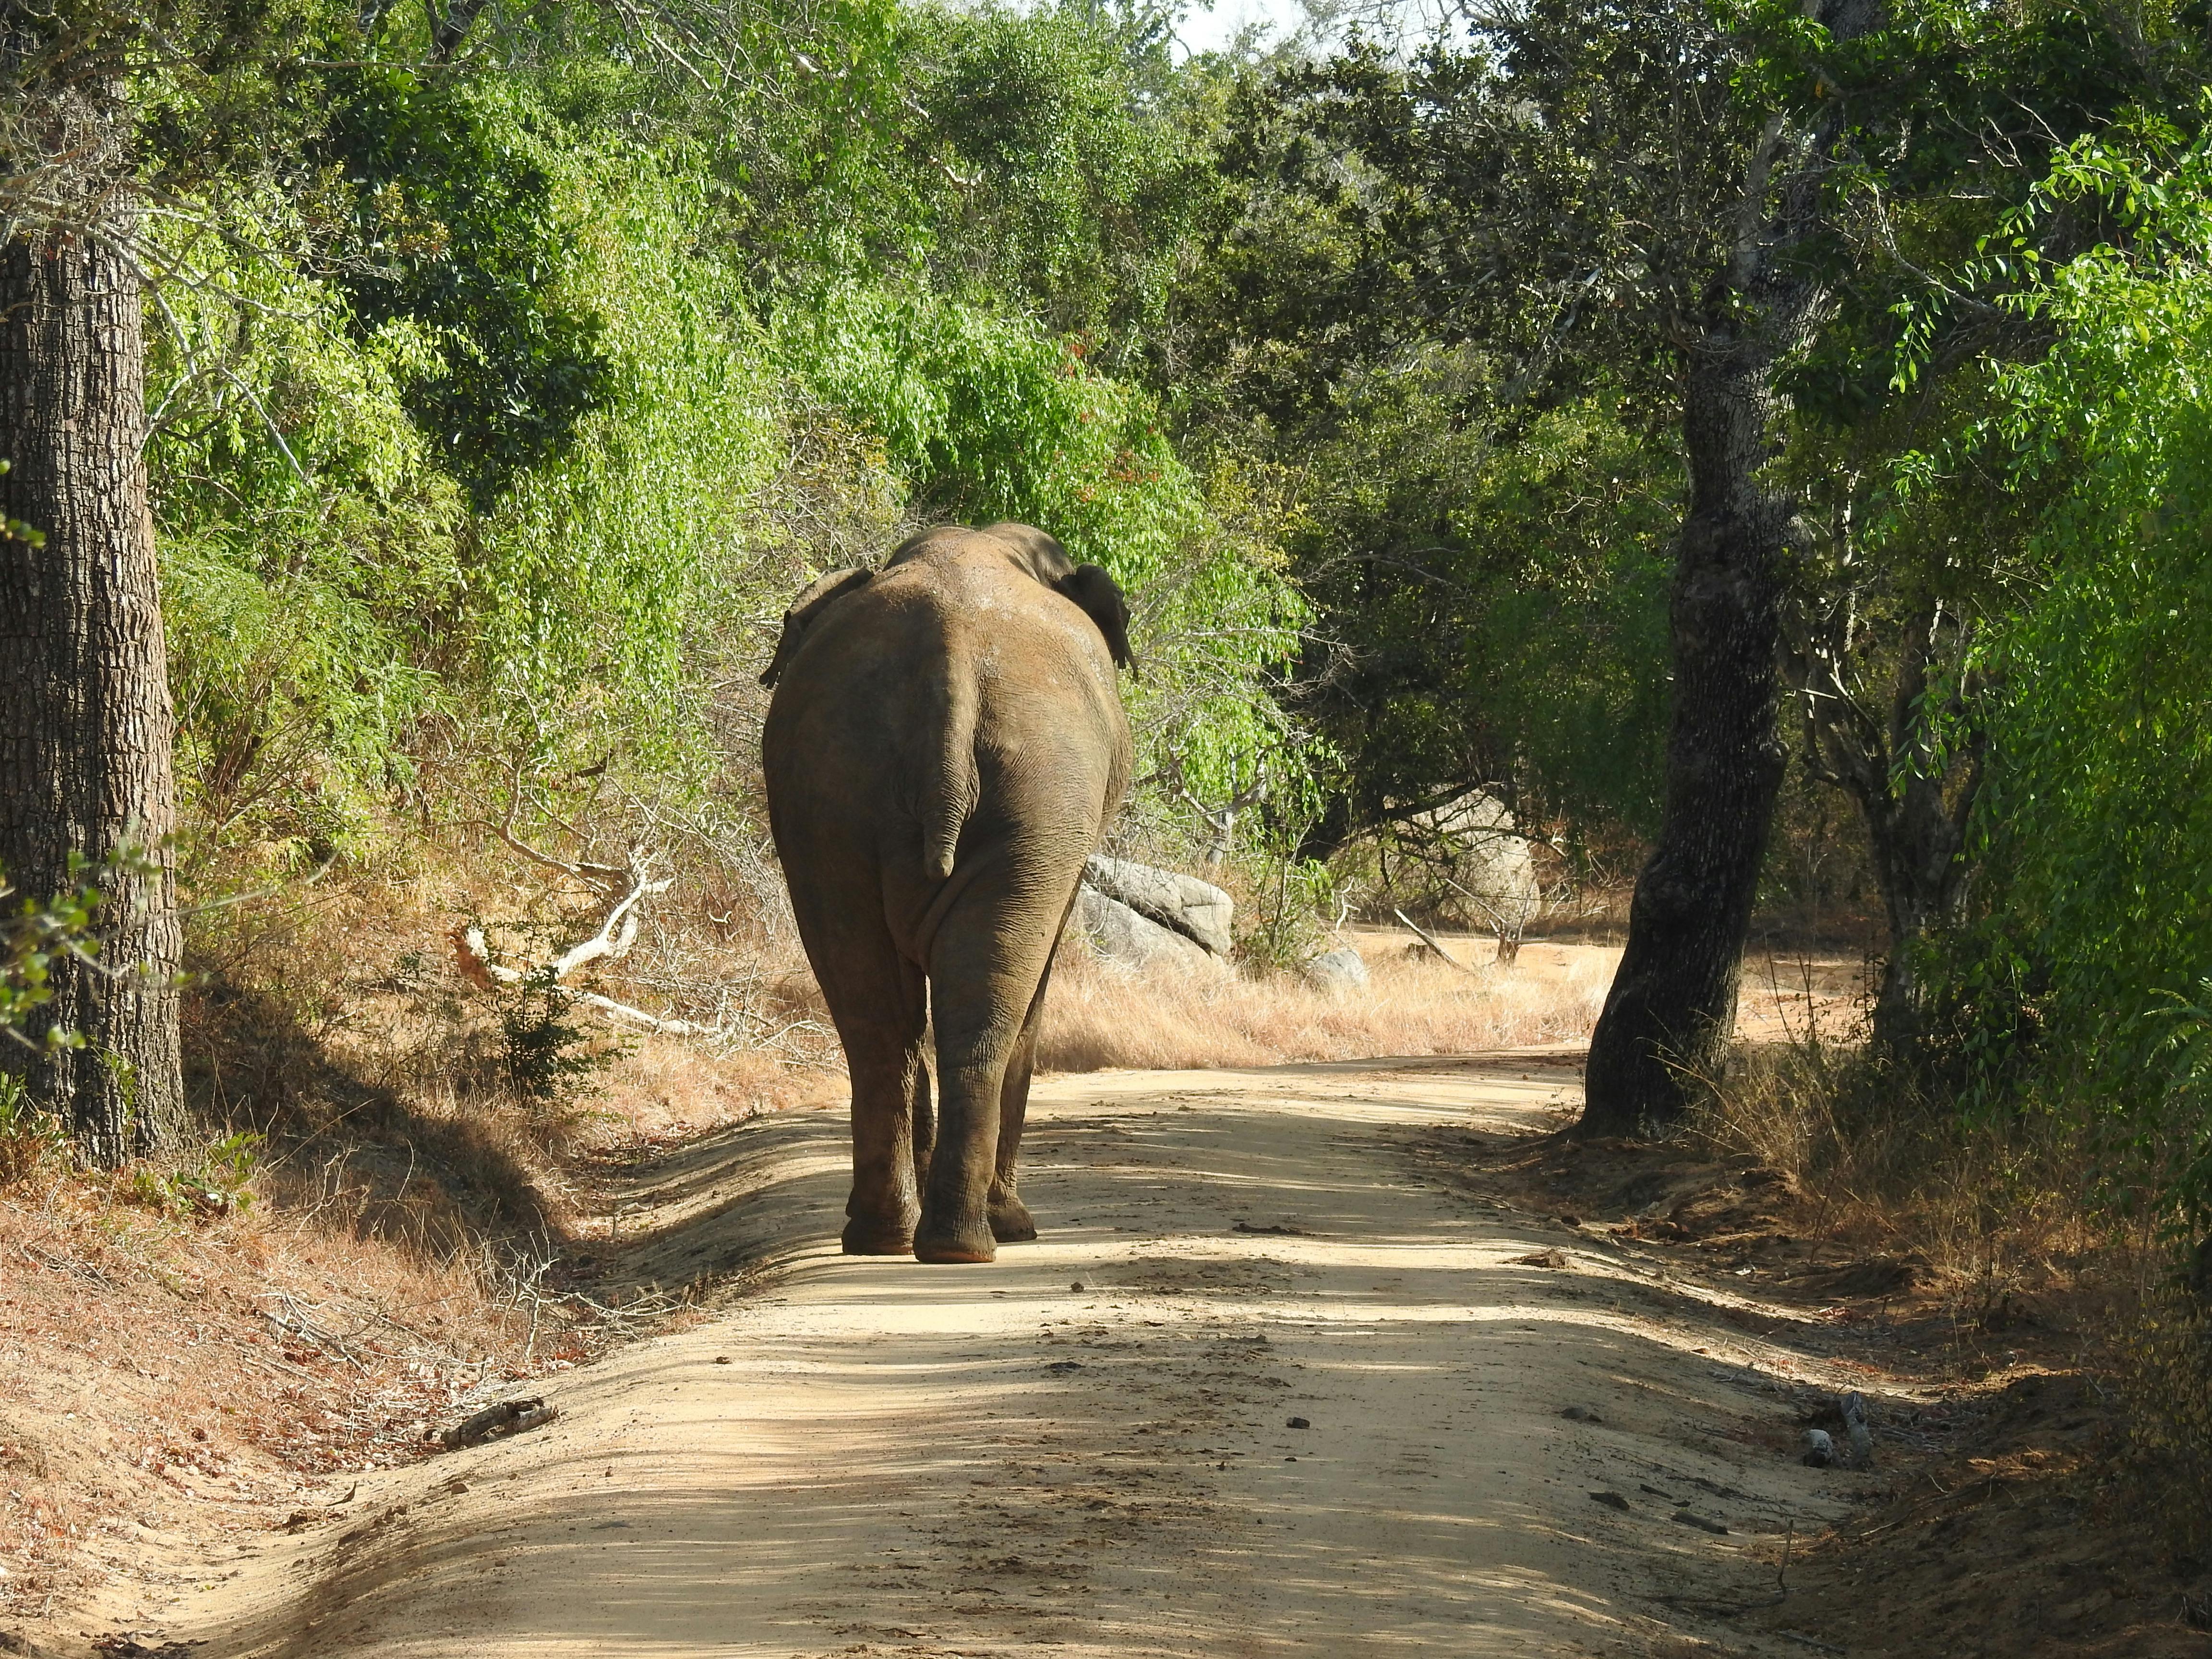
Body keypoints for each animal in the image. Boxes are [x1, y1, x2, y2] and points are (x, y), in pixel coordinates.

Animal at [760, 522, 1135, 1263]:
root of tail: (950, 659)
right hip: (1040, 797)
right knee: (985, 1014)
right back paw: (980, 1238)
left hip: (831, 794)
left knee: (875, 1015)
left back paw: (889, 1238)